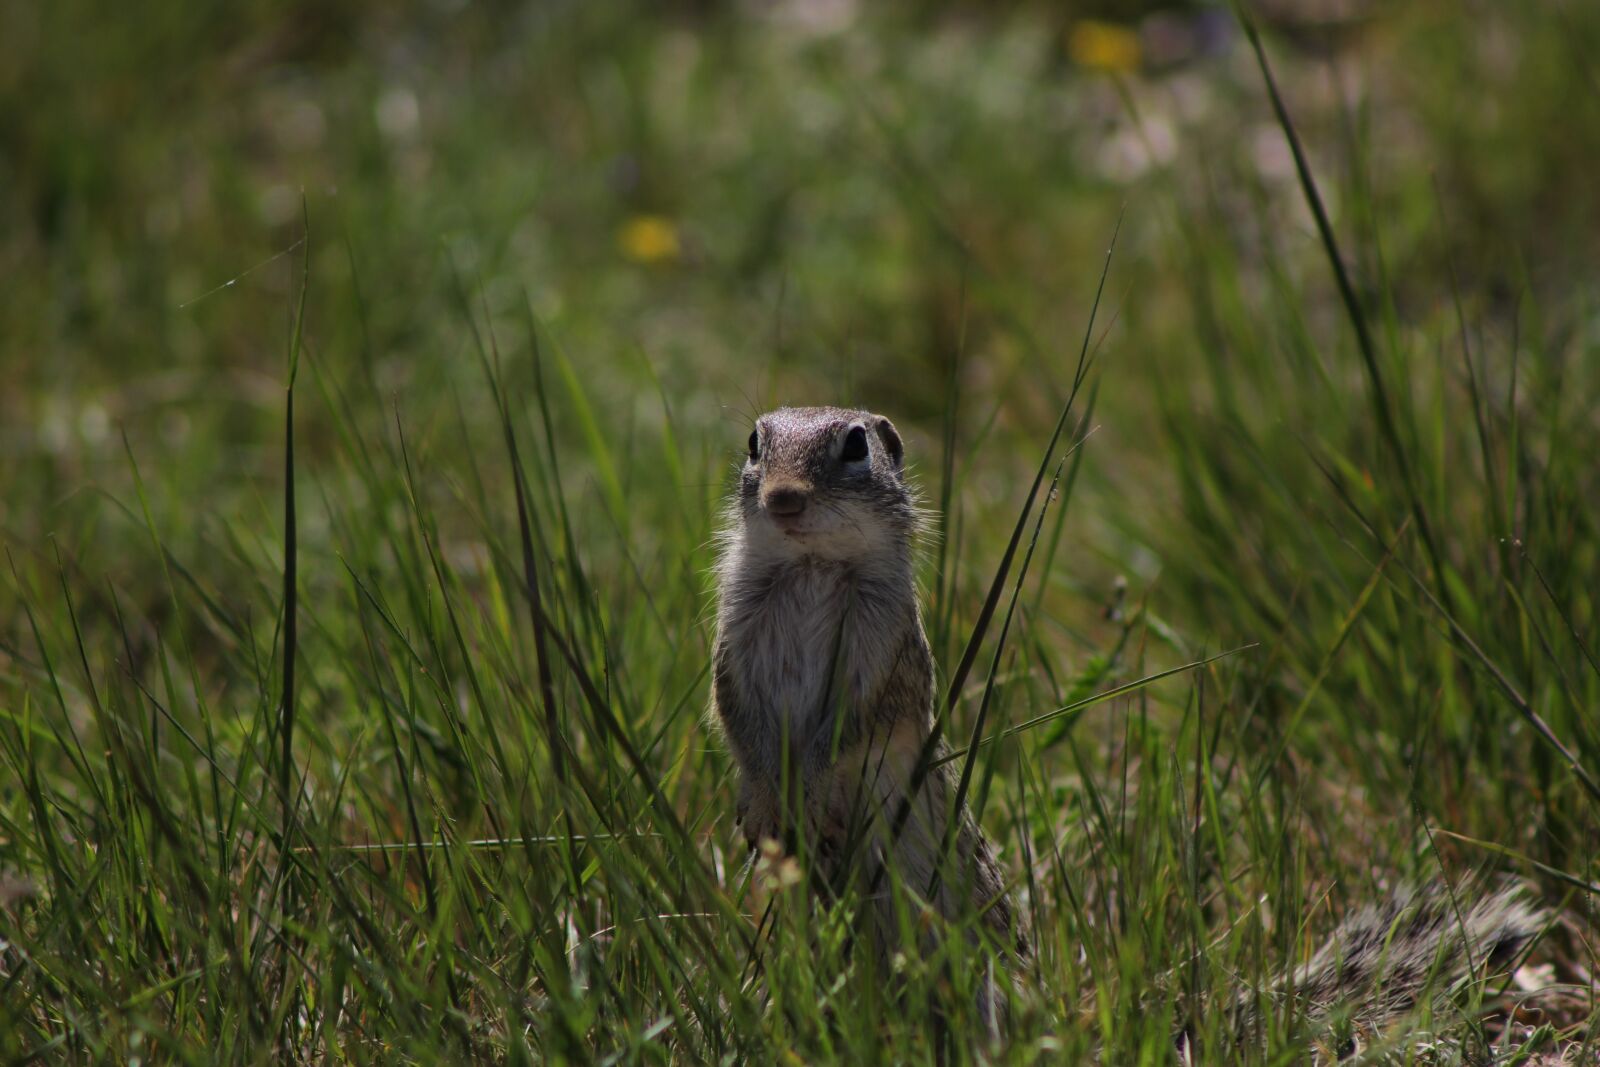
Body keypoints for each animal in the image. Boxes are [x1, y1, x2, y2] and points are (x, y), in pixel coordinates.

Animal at [710, 406, 1552, 1052]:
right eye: (754, 442)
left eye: (855, 444)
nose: (783, 498)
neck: (812, 565)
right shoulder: (733, 646)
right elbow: (739, 720)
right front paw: (764, 804)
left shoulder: (886, 653)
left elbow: (857, 724)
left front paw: (811, 784)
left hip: (977, 980)